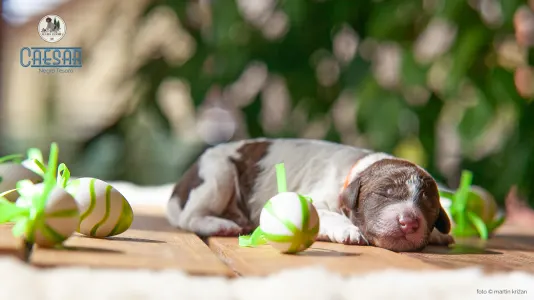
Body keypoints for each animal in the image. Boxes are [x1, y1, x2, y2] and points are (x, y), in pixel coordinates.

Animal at [168, 138, 456, 251]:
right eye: (384, 194)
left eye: (429, 206)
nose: (410, 222)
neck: (356, 169)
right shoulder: (317, 198)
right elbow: (330, 215)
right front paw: (349, 230)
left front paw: (438, 235)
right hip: (218, 174)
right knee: (191, 217)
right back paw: (221, 225)